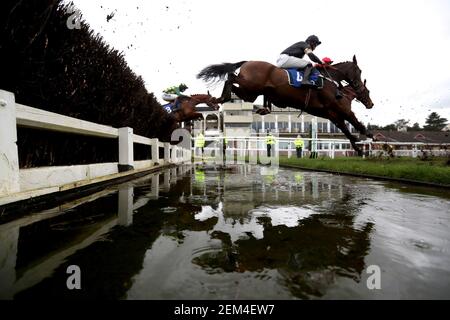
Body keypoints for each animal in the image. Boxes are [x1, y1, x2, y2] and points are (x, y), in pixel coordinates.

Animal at [197, 55, 372, 154]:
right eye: (359, 71)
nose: (371, 104)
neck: (329, 80)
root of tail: (248, 62)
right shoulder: (338, 108)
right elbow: (352, 119)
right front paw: (367, 134)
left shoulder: (328, 112)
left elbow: (344, 127)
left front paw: (357, 146)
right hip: (251, 87)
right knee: (230, 77)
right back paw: (220, 98)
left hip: (250, 93)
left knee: (232, 82)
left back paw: (221, 98)